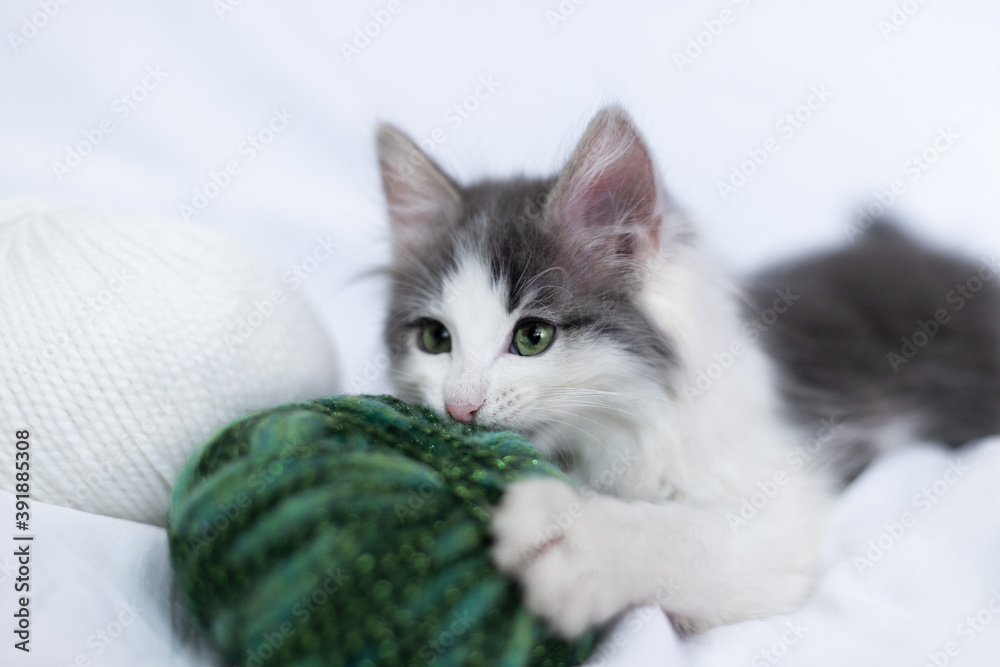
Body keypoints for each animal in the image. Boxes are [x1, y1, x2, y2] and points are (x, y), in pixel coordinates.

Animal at [374, 108, 1000, 636]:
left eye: (533, 338)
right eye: (436, 340)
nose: (459, 406)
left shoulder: (783, 504)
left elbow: (691, 536)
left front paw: (572, 538)